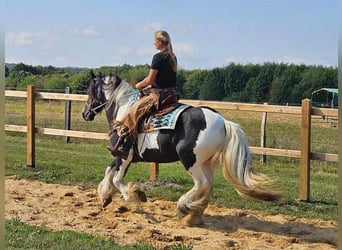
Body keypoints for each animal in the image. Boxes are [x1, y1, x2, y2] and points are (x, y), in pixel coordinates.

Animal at [81, 72, 282, 225]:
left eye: (90, 90)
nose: (85, 113)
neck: (123, 111)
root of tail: (223, 122)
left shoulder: (125, 154)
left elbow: (117, 178)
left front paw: (135, 195)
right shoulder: (121, 155)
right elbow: (109, 170)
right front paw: (105, 196)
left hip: (191, 160)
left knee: (202, 183)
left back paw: (183, 207)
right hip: (205, 162)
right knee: (208, 186)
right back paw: (194, 214)